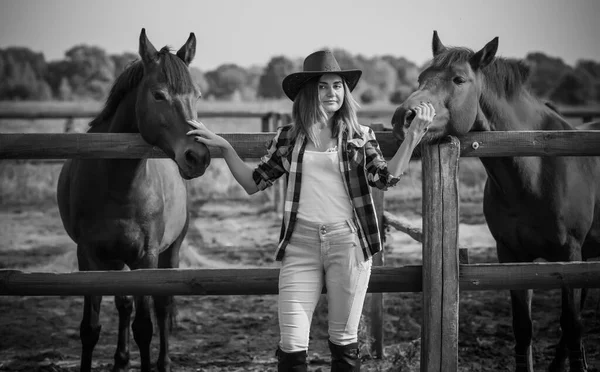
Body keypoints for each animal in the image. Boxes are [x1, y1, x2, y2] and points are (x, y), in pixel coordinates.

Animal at [56, 29, 211, 372]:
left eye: (196, 96)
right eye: (158, 95)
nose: (198, 157)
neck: (118, 184)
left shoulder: (147, 258)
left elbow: (145, 326)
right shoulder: (88, 257)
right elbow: (91, 328)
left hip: (170, 252)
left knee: (162, 307)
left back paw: (163, 362)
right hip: (115, 261)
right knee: (124, 304)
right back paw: (120, 359)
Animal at [392, 31, 596, 372]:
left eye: (459, 79)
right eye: (420, 78)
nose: (402, 117)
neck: (538, 165)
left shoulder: (571, 255)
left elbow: (572, 325)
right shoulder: (512, 255)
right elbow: (523, 328)